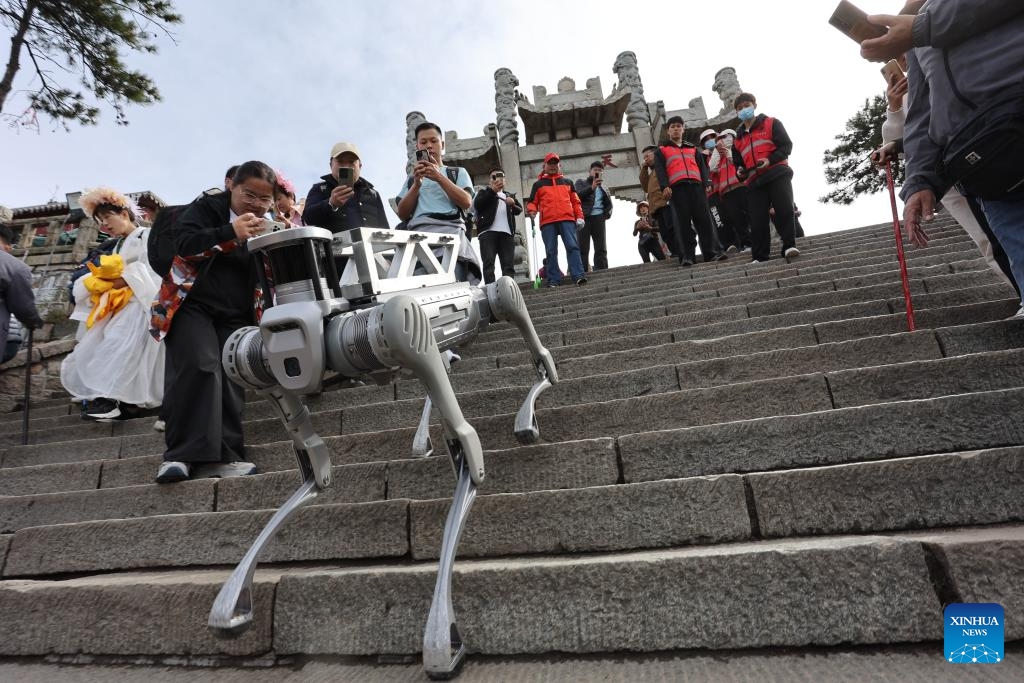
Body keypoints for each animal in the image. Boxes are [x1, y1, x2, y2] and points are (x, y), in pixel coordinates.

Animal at [209, 225, 561, 679]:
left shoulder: (404, 324)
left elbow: (466, 445)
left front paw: (443, 632)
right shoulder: (250, 361)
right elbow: (312, 461)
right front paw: (234, 599)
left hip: (481, 304)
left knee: (505, 294)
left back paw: (536, 388)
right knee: (453, 354)